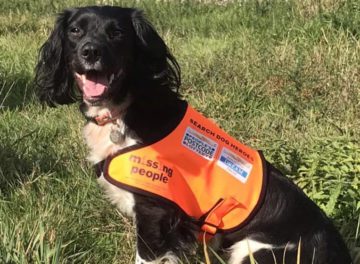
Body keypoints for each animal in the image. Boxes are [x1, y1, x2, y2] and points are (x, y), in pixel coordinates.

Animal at [34, 6, 352, 264]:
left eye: (117, 33)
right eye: (75, 31)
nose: (90, 52)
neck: (124, 110)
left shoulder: (155, 215)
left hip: (252, 251)